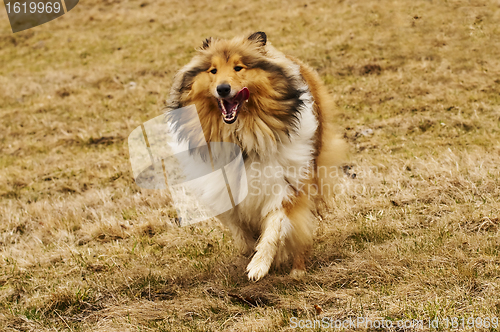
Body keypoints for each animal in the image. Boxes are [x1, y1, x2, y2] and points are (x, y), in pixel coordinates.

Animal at [166, 31, 346, 280]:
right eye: (213, 70)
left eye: (238, 67)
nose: (223, 88)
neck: (241, 137)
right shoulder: (224, 192)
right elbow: (240, 230)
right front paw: (251, 250)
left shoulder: (286, 184)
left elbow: (275, 227)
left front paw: (260, 265)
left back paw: (297, 270)